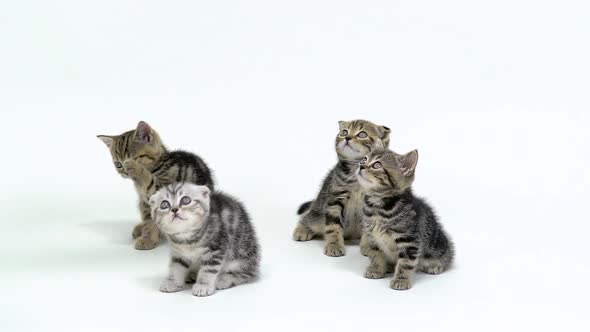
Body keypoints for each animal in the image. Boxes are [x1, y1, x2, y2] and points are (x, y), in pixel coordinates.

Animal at [97, 121, 215, 249]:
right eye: (118, 164)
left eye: (134, 158)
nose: (125, 172)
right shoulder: (145, 203)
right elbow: (149, 220)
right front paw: (148, 237)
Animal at [292, 119, 394, 256]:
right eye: (344, 132)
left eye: (362, 134)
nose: (347, 137)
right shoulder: (334, 200)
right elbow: (333, 227)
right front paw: (334, 245)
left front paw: (369, 247)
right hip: (319, 214)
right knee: (308, 217)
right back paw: (301, 230)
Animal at [356, 148, 458, 290]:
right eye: (364, 159)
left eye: (377, 165)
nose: (361, 165)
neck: (378, 206)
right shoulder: (373, 238)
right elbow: (376, 255)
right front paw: (376, 269)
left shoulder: (409, 241)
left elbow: (405, 263)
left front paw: (401, 280)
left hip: (439, 245)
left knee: (446, 256)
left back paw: (435, 265)